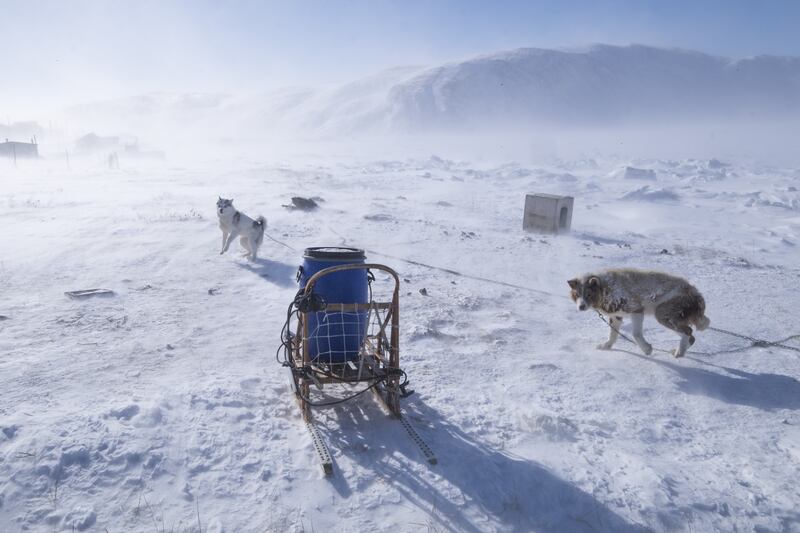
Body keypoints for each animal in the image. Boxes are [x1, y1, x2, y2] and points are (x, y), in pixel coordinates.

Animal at [564, 270, 708, 358]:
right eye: (577, 295)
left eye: (588, 295)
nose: (581, 307)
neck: (605, 288)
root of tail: (695, 292)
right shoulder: (616, 316)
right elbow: (613, 335)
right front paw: (607, 346)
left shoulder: (636, 310)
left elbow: (636, 334)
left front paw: (647, 349)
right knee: (691, 336)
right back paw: (680, 350)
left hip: (663, 314)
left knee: (688, 331)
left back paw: (680, 352)